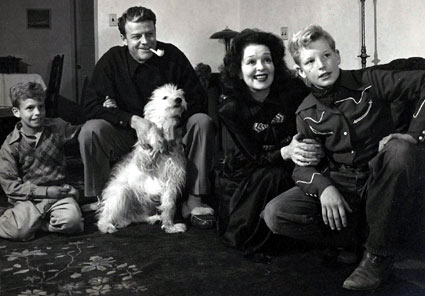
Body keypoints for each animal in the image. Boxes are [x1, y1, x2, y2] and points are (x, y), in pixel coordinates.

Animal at [98, 83, 188, 234]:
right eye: (165, 97)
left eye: (180, 95)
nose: (178, 100)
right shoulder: (143, 159)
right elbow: (152, 129)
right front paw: (156, 139)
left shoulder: (172, 180)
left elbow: (169, 206)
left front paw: (170, 226)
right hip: (121, 192)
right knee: (106, 215)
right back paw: (106, 226)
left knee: (135, 217)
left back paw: (152, 218)